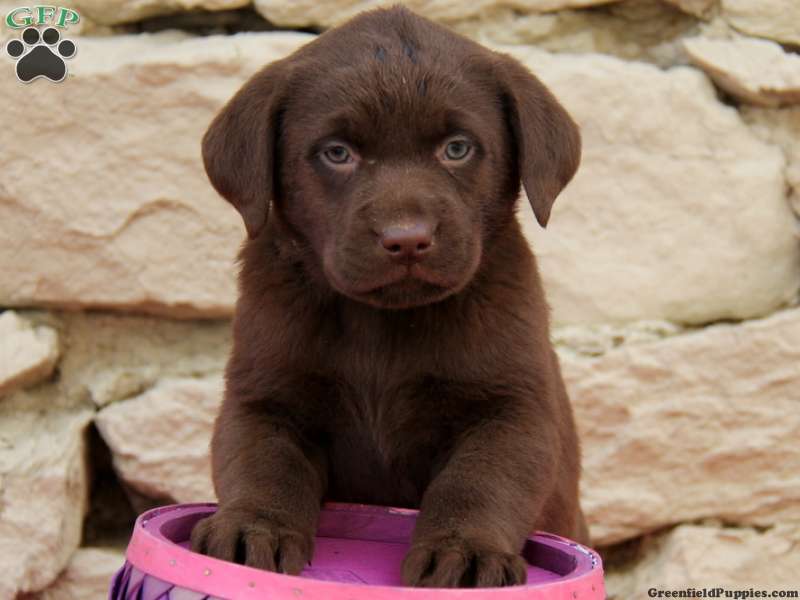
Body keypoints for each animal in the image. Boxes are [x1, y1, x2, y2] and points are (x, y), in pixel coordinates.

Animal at [189, 3, 588, 584]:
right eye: (337, 153)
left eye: (457, 149)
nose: (406, 239)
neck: (382, 322)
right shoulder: (263, 398)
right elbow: (263, 465)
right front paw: (251, 528)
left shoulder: (510, 408)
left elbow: (479, 481)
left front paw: (465, 551)